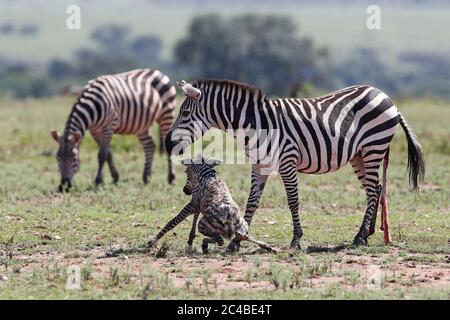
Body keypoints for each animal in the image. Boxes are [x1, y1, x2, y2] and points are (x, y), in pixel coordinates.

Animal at [148, 156, 276, 254]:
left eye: (186, 172)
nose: (185, 191)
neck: (208, 177)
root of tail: (230, 220)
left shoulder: (193, 204)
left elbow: (173, 221)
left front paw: (152, 241)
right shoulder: (198, 205)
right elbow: (191, 222)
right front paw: (190, 241)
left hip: (203, 224)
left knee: (220, 240)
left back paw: (205, 246)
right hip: (243, 226)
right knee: (243, 236)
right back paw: (268, 247)